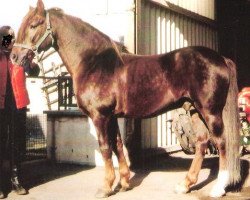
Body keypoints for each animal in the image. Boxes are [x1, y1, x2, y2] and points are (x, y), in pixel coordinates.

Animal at [11, 0, 240, 198]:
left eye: (34, 24)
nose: (14, 56)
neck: (94, 62)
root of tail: (221, 59)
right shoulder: (112, 116)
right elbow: (118, 145)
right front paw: (124, 182)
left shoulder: (100, 116)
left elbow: (105, 148)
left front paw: (105, 187)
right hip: (193, 109)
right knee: (202, 142)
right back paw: (185, 185)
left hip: (210, 111)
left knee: (221, 142)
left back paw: (218, 188)